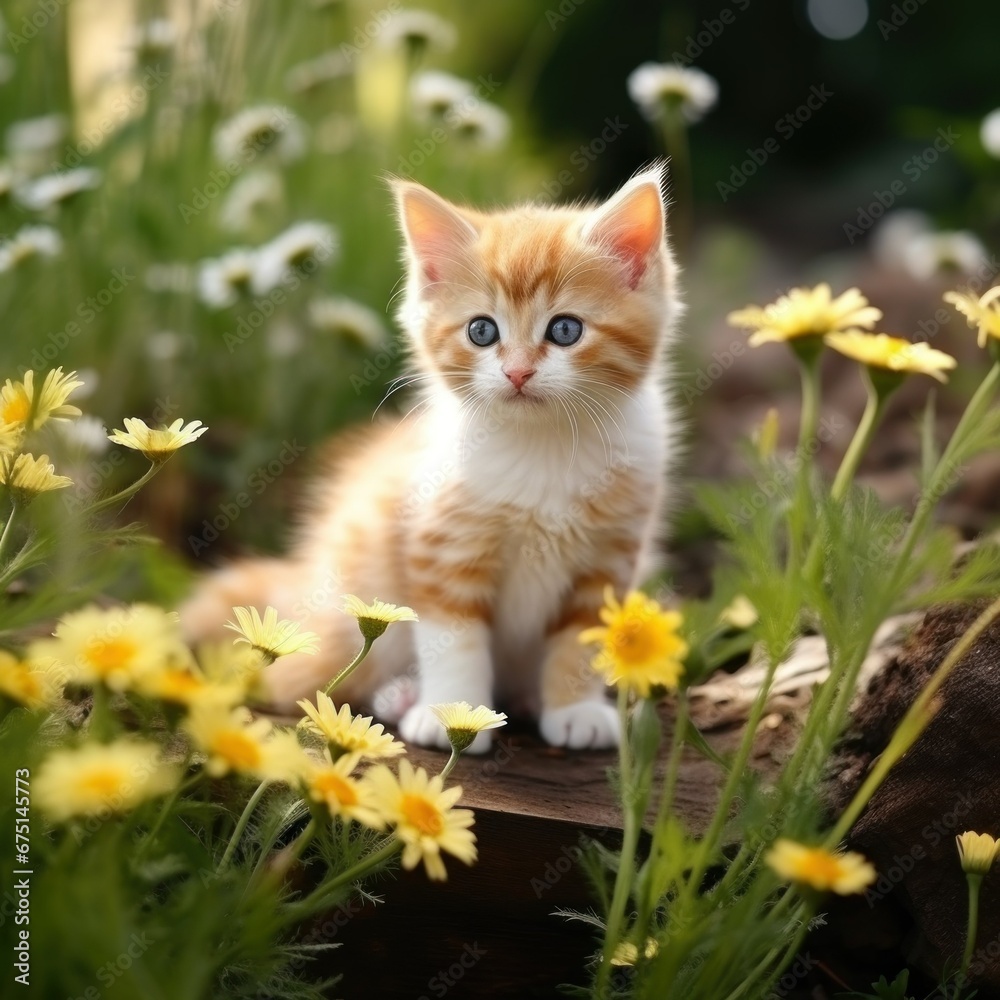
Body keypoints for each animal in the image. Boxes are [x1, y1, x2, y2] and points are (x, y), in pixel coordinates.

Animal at [182, 166, 680, 752]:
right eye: (482, 330)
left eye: (565, 330)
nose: (517, 372)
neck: (541, 444)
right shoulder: (441, 541)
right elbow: (453, 638)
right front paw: (454, 714)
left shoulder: (609, 556)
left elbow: (581, 638)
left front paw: (576, 709)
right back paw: (399, 697)